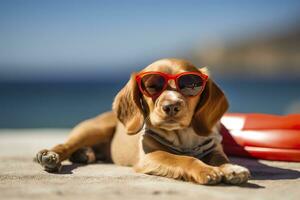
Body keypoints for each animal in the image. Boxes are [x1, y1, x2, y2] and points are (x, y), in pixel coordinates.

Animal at [36, 58, 250, 185]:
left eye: (191, 85)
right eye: (152, 86)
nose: (171, 106)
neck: (183, 136)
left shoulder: (214, 148)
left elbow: (221, 159)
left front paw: (232, 168)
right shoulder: (151, 155)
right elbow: (183, 159)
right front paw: (206, 170)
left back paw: (84, 154)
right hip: (96, 128)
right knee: (66, 145)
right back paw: (51, 156)